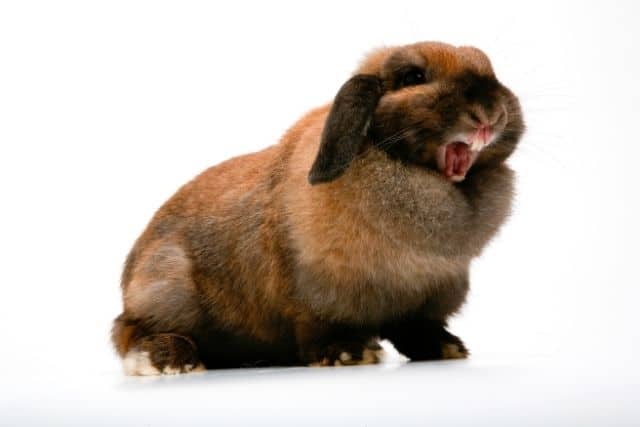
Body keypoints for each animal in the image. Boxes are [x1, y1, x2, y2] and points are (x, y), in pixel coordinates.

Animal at [111, 41, 524, 375]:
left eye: (490, 68)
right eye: (413, 76)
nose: (490, 112)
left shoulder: (427, 297)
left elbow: (417, 326)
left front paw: (445, 347)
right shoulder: (315, 294)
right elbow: (320, 327)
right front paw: (347, 353)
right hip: (167, 287)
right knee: (130, 330)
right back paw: (170, 360)